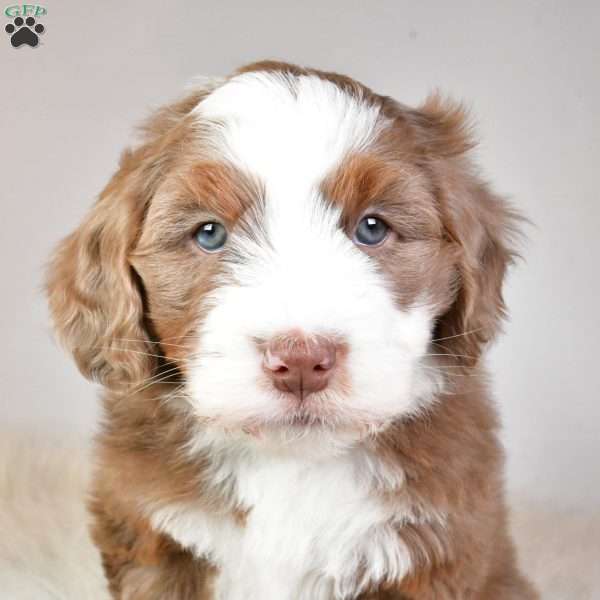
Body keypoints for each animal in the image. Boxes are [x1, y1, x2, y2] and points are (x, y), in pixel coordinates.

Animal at [45, 62, 536, 600]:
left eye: (372, 228)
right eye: (209, 234)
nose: (301, 359)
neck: (292, 459)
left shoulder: (432, 547)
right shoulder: (153, 534)